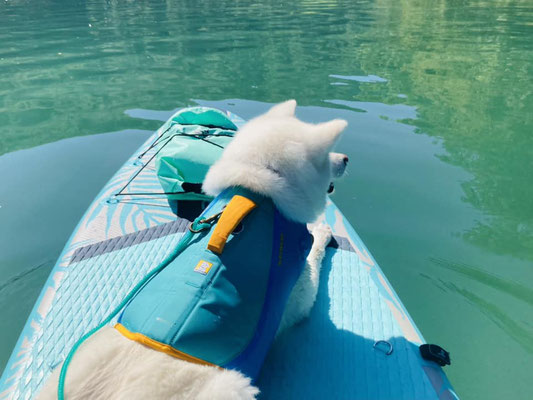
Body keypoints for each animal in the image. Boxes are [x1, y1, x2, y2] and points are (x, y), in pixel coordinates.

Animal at [36, 100, 344, 400]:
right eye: (327, 154)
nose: (346, 159)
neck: (255, 190)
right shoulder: (297, 293)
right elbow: (315, 259)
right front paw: (322, 231)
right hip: (232, 385)